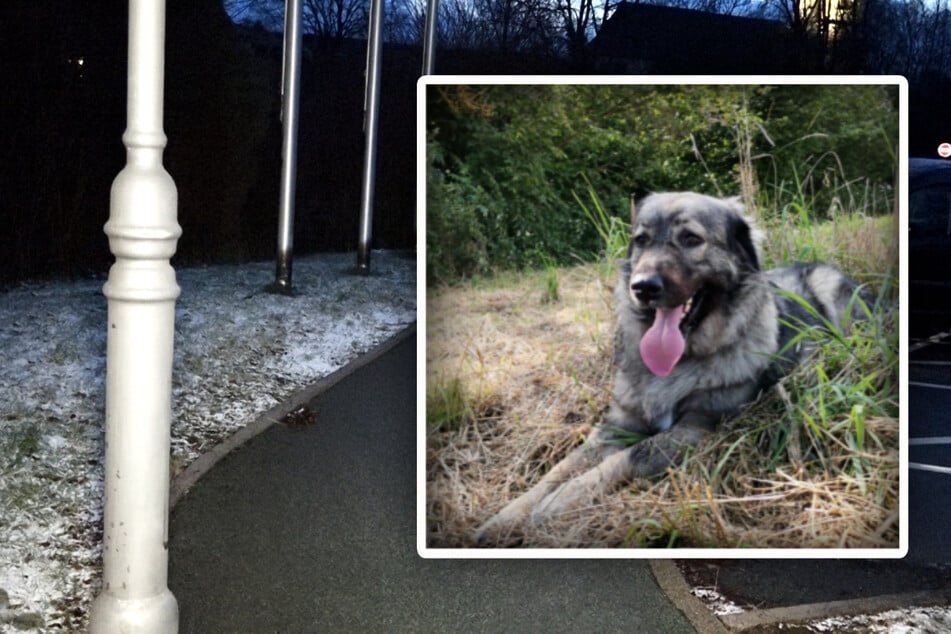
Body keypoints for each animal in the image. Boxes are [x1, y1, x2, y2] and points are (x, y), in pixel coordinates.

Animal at [476, 190, 872, 544]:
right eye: (641, 240)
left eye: (691, 239)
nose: (643, 287)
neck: (680, 361)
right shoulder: (617, 426)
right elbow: (559, 468)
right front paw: (507, 516)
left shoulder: (695, 428)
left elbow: (629, 456)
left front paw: (560, 502)